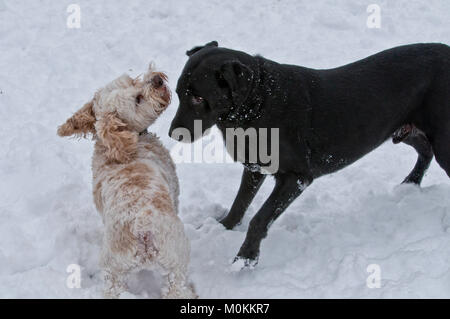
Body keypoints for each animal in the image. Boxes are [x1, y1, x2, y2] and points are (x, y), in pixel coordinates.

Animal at [57, 65, 196, 300]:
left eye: (132, 81)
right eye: (138, 100)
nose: (157, 79)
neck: (123, 144)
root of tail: (143, 228)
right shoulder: (174, 190)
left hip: (114, 270)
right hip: (176, 256)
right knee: (177, 287)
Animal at [170, 41, 450, 268]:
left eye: (198, 98)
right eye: (178, 93)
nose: (174, 134)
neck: (258, 103)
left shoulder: (297, 177)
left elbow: (259, 219)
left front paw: (246, 258)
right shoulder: (255, 166)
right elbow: (240, 203)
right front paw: (223, 227)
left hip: (442, 140)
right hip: (406, 129)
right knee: (424, 151)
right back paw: (411, 183)